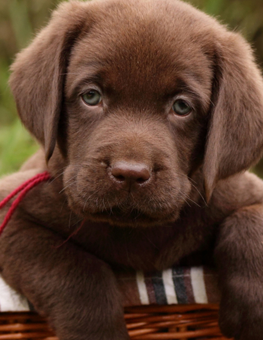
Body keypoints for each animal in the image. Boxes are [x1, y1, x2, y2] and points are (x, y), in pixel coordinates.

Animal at [1, 0, 263, 338]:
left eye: (182, 106)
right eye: (91, 96)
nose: (129, 173)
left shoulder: (237, 189)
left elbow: (250, 221)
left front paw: (251, 310)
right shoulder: (12, 214)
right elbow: (73, 269)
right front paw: (98, 329)